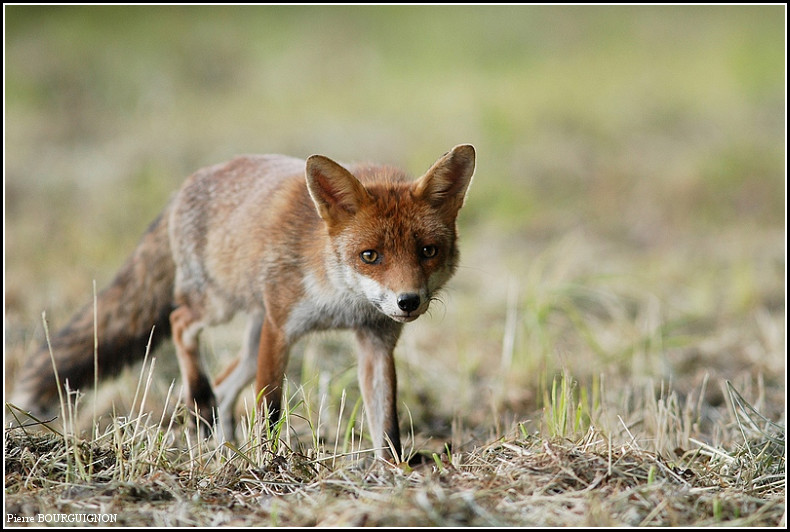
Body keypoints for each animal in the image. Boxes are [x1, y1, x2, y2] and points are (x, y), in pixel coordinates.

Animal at [10, 145, 476, 462]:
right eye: (370, 256)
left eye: (428, 251)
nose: (407, 302)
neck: (343, 301)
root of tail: (187, 183)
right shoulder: (280, 328)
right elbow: (269, 410)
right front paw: (271, 464)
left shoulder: (376, 342)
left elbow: (387, 423)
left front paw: (392, 473)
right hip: (220, 307)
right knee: (181, 324)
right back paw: (201, 402)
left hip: (251, 338)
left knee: (224, 383)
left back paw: (221, 441)